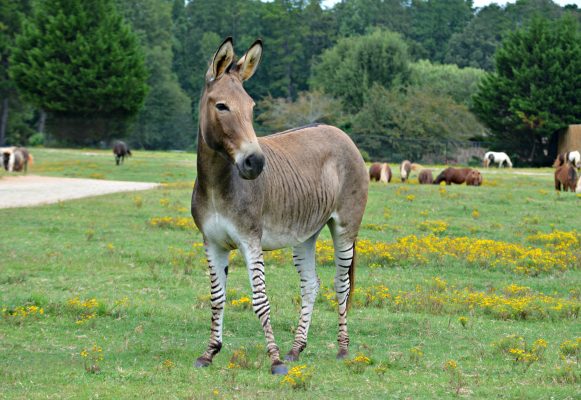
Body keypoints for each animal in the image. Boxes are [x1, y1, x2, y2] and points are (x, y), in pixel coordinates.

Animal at [190, 38, 368, 376]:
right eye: (221, 106)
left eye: (251, 108)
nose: (256, 163)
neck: (218, 185)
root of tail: (337, 130)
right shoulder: (212, 242)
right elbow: (217, 298)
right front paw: (209, 352)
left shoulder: (250, 239)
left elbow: (260, 300)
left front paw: (274, 360)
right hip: (306, 232)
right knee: (311, 285)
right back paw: (296, 348)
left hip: (346, 227)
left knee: (342, 284)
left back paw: (342, 348)